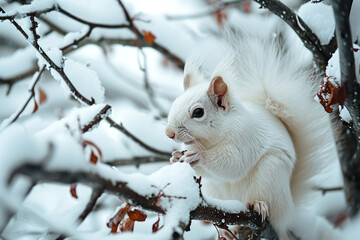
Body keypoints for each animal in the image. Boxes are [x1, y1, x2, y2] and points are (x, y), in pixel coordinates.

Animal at [165, 32, 338, 240]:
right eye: (175, 103)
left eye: (198, 112)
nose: (169, 133)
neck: (210, 141)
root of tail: (288, 209)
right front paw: (176, 158)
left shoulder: (244, 137)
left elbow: (233, 163)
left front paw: (199, 157)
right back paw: (230, 231)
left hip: (270, 176)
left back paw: (259, 206)